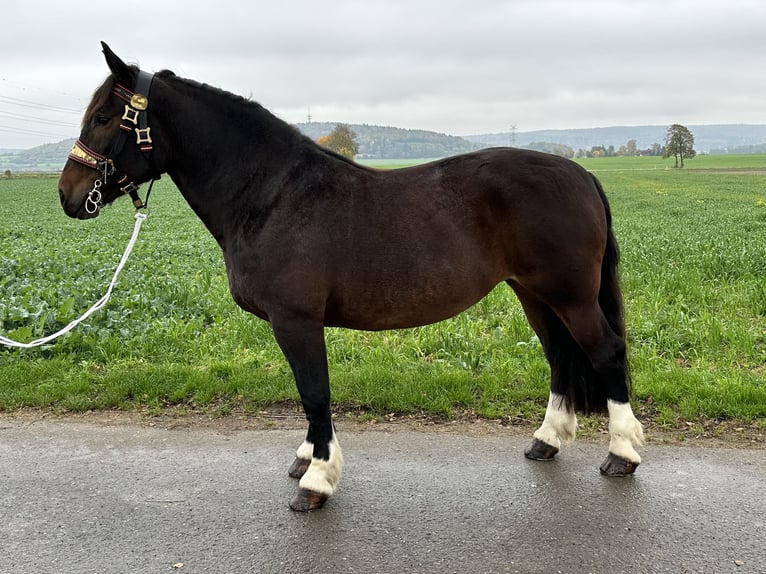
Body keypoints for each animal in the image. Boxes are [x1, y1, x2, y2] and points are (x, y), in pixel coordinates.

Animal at [57, 44, 644, 512]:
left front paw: (316, 480)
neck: (272, 194)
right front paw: (307, 458)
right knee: (561, 357)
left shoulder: (296, 320)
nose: (68, 195)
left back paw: (621, 453)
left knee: (605, 352)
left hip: (570, 296)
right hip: (534, 294)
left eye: (106, 117)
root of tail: (581, 173)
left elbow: (314, 392)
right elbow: (308, 395)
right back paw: (548, 441)